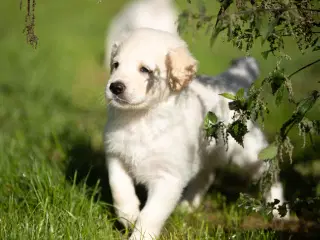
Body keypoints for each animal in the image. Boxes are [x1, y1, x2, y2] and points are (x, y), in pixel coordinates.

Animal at [105, 28, 288, 240]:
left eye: (145, 69)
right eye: (116, 65)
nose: (115, 87)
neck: (142, 117)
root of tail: (229, 83)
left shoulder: (168, 178)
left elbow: (151, 214)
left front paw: (140, 235)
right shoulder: (116, 155)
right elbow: (119, 188)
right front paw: (128, 215)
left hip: (249, 154)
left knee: (270, 174)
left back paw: (280, 212)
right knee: (206, 175)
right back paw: (188, 205)